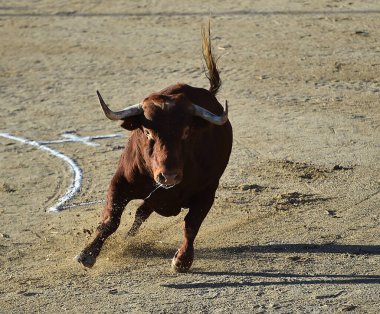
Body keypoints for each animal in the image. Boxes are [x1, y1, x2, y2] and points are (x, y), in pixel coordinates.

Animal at [76, 23, 233, 272]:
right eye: (148, 132)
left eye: (187, 132)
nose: (168, 176)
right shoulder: (120, 181)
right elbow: (110, 219)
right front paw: (88, 254)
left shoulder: (208, 191)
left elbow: (191, 225)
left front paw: (182, 260)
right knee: (140, 213)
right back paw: (127, 239)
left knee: (145, 212)